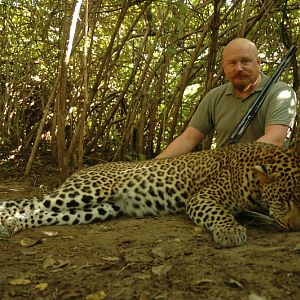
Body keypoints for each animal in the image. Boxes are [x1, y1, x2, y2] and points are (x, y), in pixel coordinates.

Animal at [0, 142, 298, 247]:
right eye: (283, 200)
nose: (296, 228)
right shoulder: (203, 197)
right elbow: (219, 213)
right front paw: (230, 231)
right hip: (89, 189)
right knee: (30, 202)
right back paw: (7, 221)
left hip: (102, 208)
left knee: (42, 213)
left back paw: (12, 226)